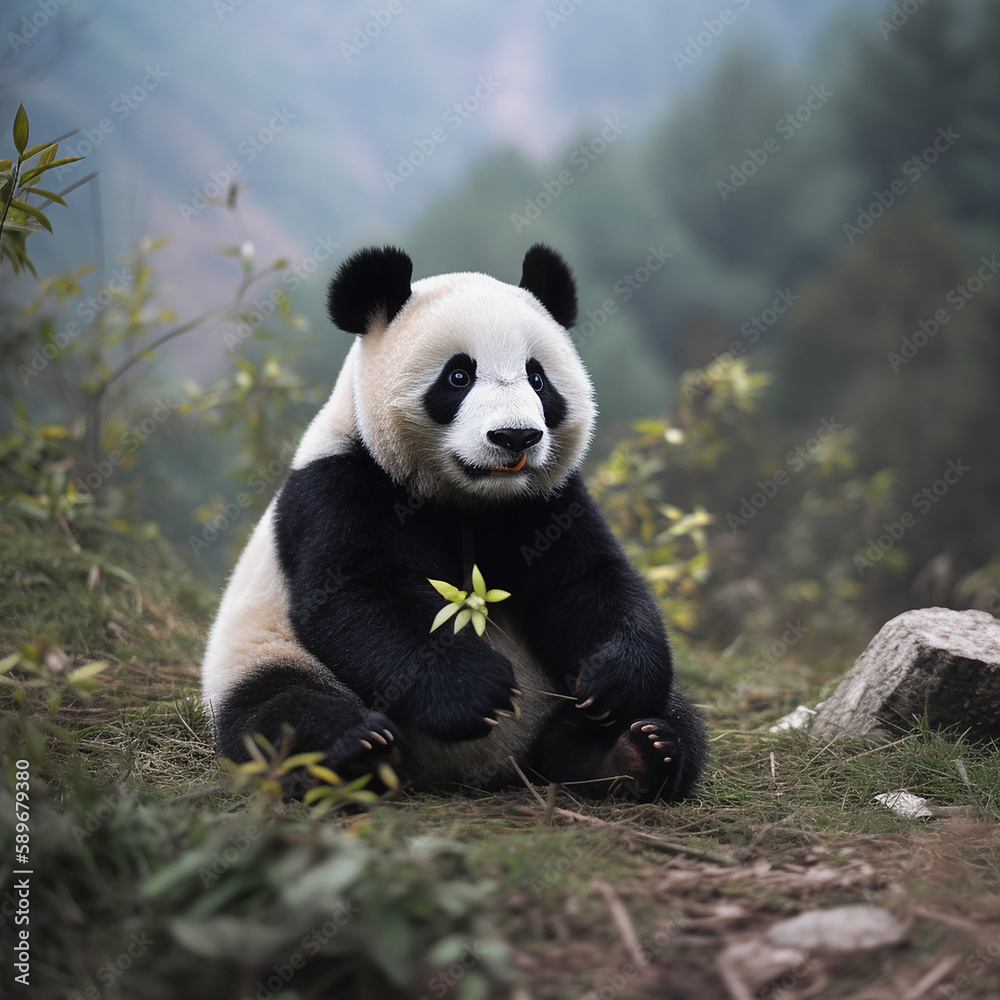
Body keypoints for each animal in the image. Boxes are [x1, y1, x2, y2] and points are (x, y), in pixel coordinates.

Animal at [201, 244, 707, 802]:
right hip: (261, 653)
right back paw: (361, 751)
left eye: (538, 379)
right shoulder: (338, 486)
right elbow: (359, 594)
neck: (471, 497)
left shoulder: (546, 502)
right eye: (458, 376)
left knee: (663, 718)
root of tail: (475, 771)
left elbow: (586, 580)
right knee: (281, 711)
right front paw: (475, 691)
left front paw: (614, 680)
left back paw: (636, 752)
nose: (515, 437)